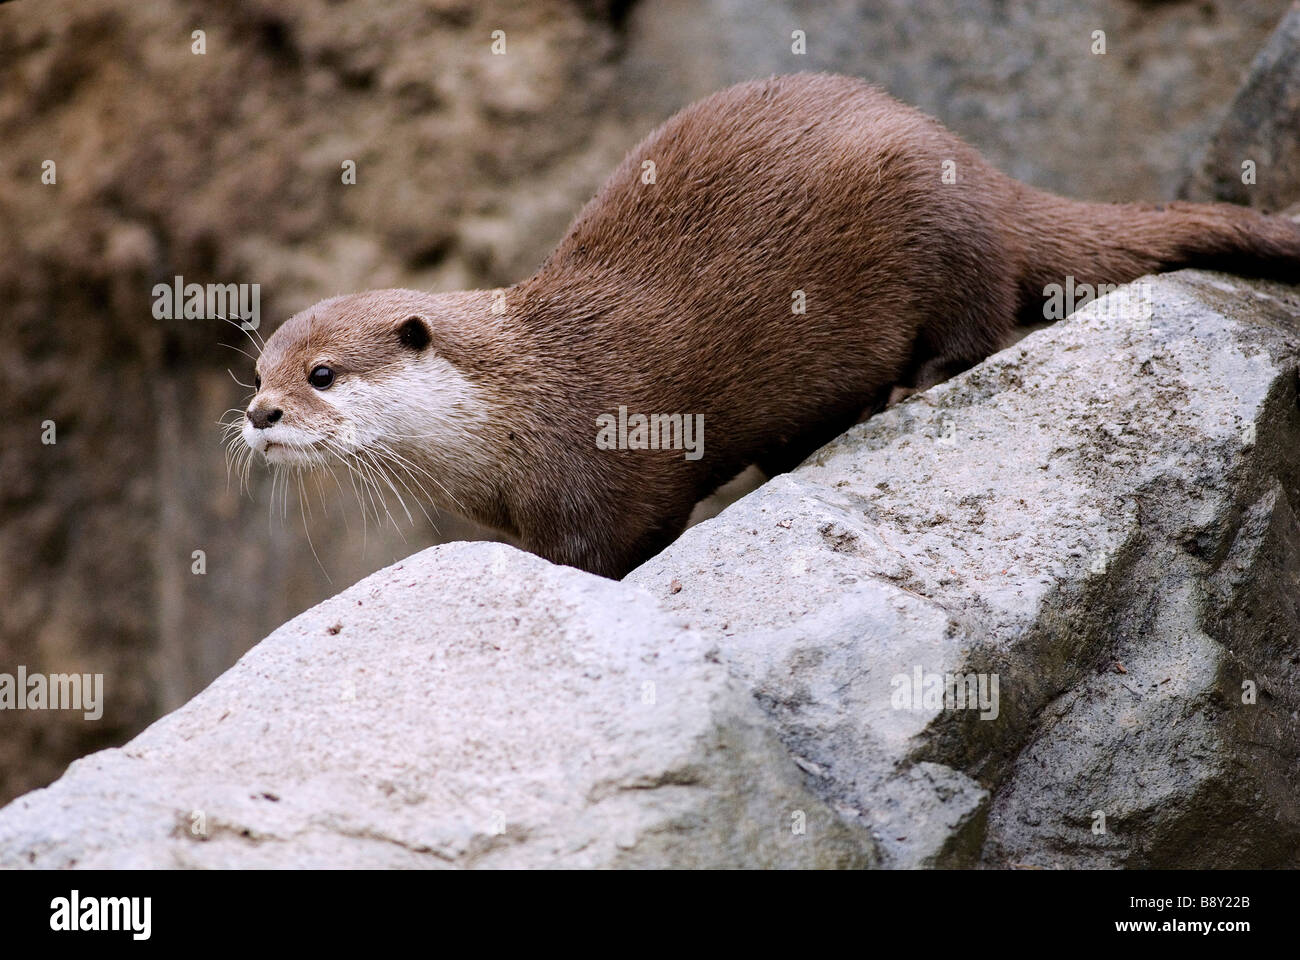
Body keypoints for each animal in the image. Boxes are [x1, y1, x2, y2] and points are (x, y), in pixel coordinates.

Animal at [236, 72, 1300, 574]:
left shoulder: (607, 468)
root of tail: (970, 161)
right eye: (259, 371)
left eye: (321, 375)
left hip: (935, 222)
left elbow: (617, 544)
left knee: (982, 313)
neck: (521, 406)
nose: (258, 417)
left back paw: (913, 385)